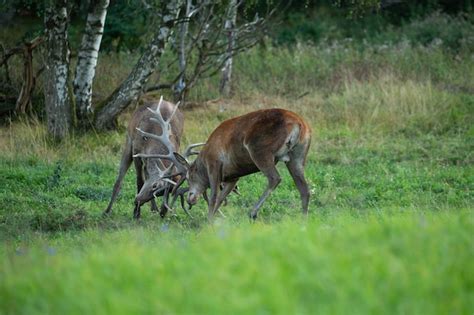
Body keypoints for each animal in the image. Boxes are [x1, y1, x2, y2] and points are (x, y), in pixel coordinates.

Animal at [137, 108, 312, 220]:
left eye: (189, 176)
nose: (190, 198)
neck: (204, 156)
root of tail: (300, 125)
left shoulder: (215, 165)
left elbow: (214, 197)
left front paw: (208, 222)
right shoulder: (232, 176)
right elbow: (221, 198)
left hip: (261, 150)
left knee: (275, 178)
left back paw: (253, 213)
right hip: (298, 156)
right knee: (304, 189)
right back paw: (303, 221)